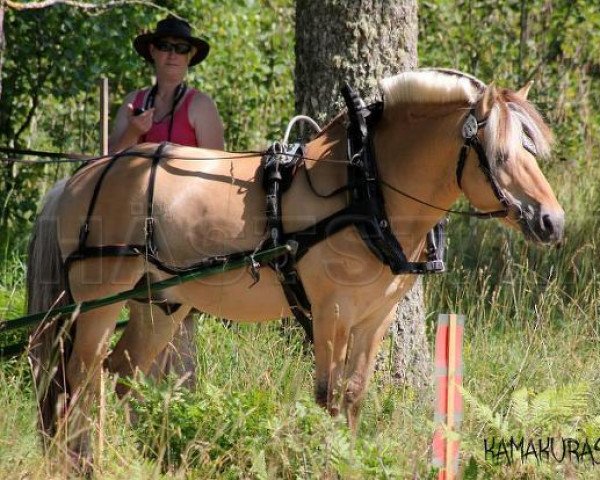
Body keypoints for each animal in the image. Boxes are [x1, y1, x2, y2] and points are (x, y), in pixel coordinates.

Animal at [27, 68, 564, 468]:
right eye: (499, 155)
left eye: (533, 151)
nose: (552, 222)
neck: (365, 189)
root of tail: (81, 176)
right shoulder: (331, 313)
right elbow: (328, 397)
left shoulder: (374, 318)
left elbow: (353, 395)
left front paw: (350, 461)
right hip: (98, 302)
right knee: (74, 382)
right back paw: (81, 463)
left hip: (161, 304)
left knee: (120, 374)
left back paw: (136, 458)